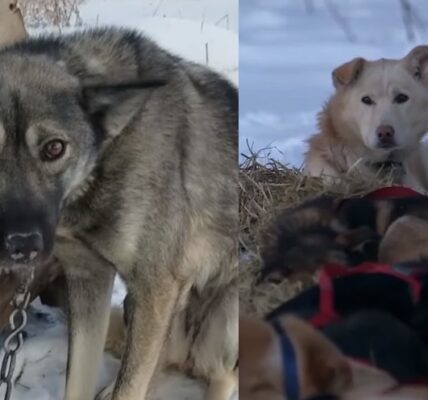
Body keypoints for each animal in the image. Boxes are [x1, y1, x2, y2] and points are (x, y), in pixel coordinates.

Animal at [0, 26, 237, 398]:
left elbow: (131, 386)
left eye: (54, 148)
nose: (22, 245)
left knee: (223, 375)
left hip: (226, 318)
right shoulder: (89, 277)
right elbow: (80, 382)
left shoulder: (154, 285)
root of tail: (189, 355)